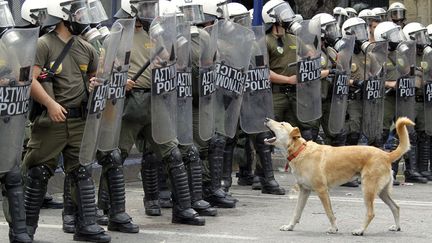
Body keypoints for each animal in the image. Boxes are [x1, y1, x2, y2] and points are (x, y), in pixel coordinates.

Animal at [264, 117, 414, 235]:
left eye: (282, 124)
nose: (266, 119)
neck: (300, 151)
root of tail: (386, 155)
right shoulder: (304, 191)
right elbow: (296, 212)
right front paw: (290, 227)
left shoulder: (322, 190)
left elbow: (329, 213)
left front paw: (334, 228)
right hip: (382, 192)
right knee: (396, 207)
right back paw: (397, 227)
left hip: (368, 189)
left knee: (371, 213)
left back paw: (360, 230)